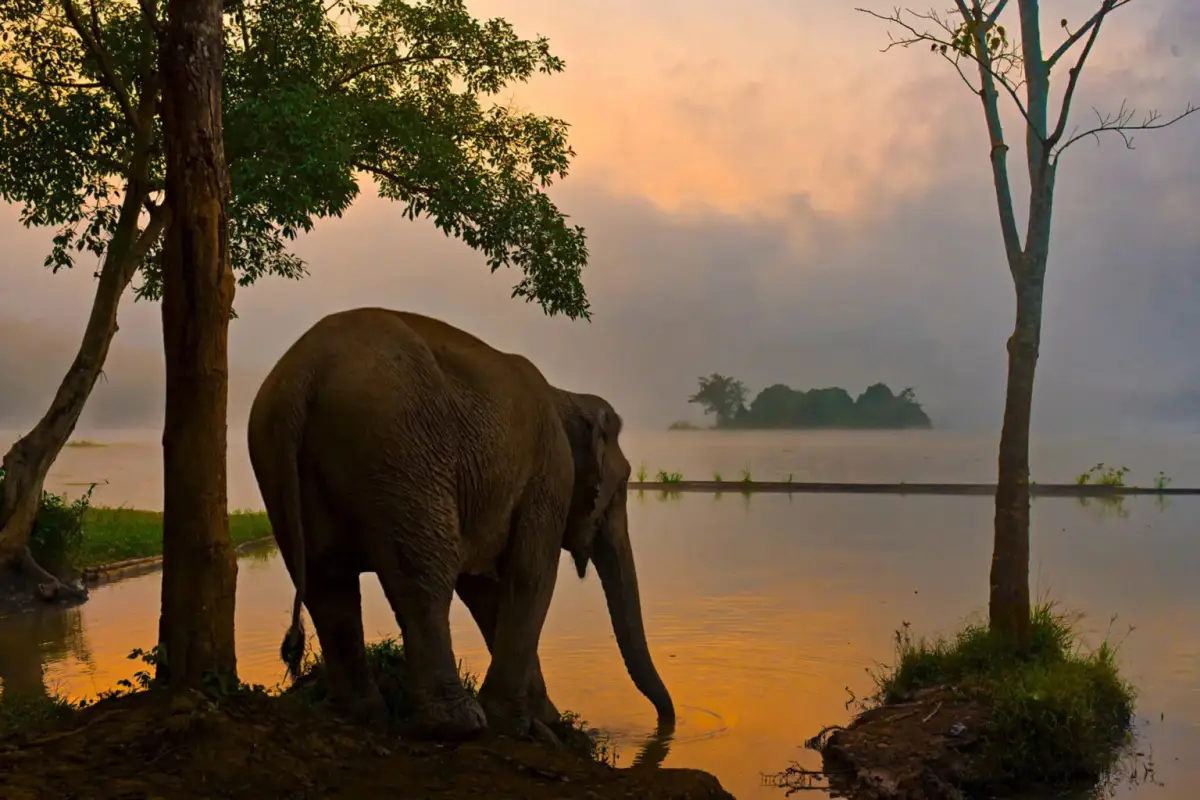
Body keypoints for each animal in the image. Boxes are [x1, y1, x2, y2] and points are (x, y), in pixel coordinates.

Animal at [247, 307, 676, 741]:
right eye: (620, 487)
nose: (666, 725)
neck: (565, 396)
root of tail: (304, 373)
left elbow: (485, 588)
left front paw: (546, 720)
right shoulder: (550, 474)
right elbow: (530, 575)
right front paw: (517, 724)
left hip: (278, 458)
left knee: (327, 582)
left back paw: (361, 715)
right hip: (402, 449)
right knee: (424, 574)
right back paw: (458, 724)